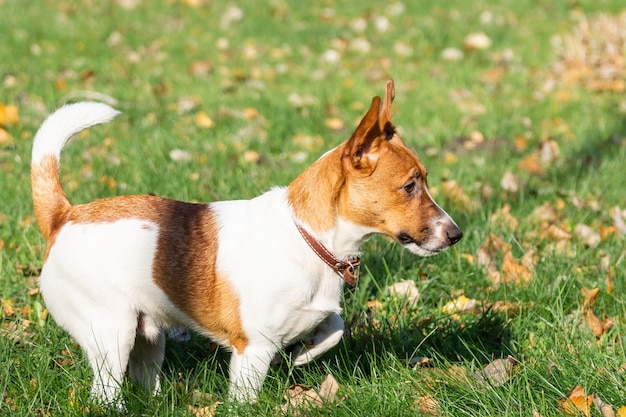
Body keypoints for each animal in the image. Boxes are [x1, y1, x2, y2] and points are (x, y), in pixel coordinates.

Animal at [31, 79, 460, 404]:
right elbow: (245, 400)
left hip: (147, 337)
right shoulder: (252, 349)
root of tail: (64, 215)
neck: (307, 238)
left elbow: (334, 324)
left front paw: (304, 353)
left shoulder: (317, 312)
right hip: (112, 332)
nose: (457, 234)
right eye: (410, 186)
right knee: (104, 394)